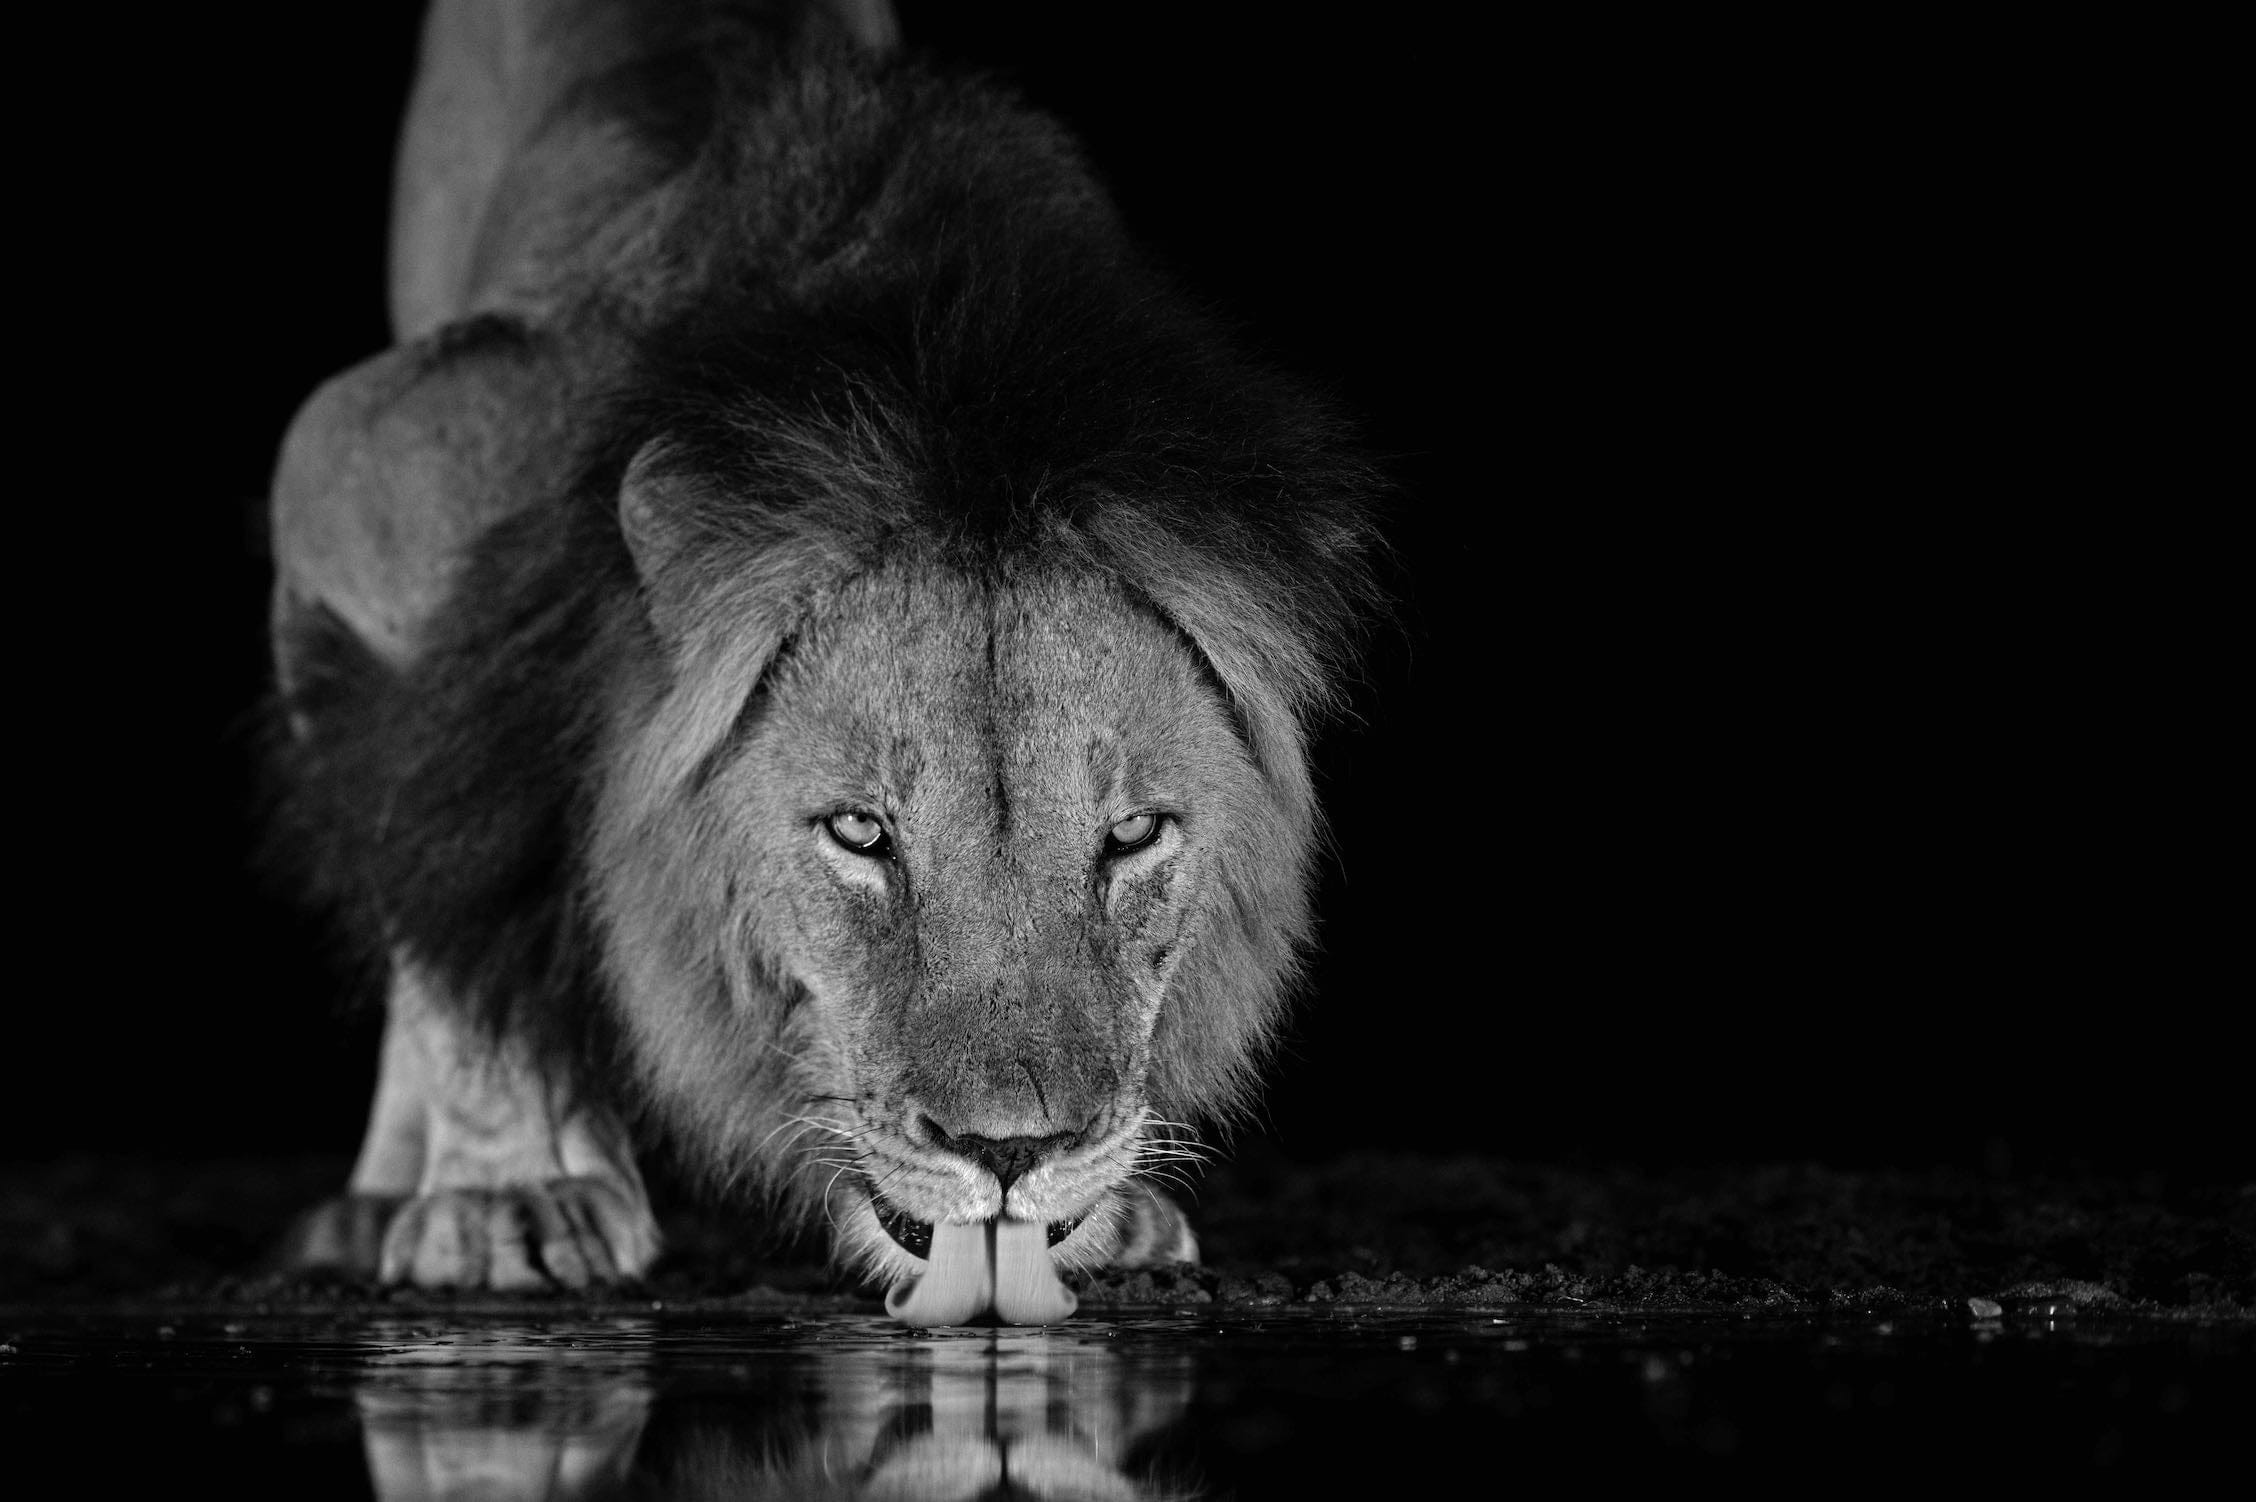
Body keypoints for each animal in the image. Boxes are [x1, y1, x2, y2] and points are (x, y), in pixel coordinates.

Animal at [269, 0, 1381, 1324]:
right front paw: (507, 1194)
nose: (1012, 1151)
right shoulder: (358, 469)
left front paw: (1111, 1213)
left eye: (1132, 835)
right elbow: (448, 857)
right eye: (860, 833)